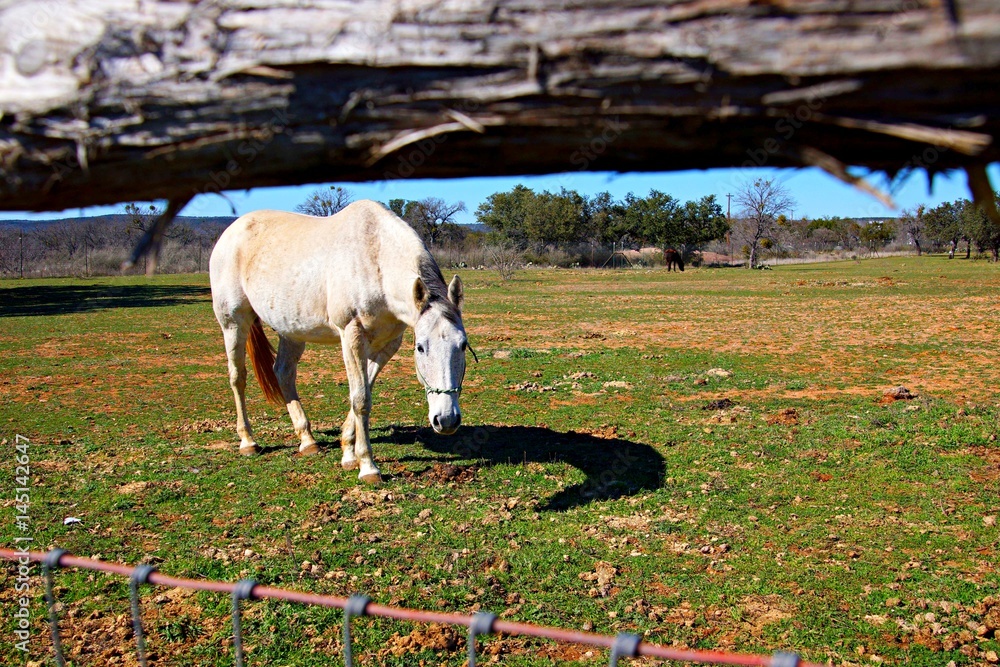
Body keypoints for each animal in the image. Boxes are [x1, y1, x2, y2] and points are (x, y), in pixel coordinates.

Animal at [209, 200, 471, 484]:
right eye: (421, 347)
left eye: (462, 345)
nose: (446, 420)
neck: (374, 259)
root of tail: (231, 231)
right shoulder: (351, 335)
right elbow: (361, 399)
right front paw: (367, 466)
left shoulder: (386, 344)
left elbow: (364, 392)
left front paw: (348, 453)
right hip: (233, 322)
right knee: (238, 377)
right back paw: (248, 441)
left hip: (292, 331)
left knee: (283, 373)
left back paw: (307, 440)